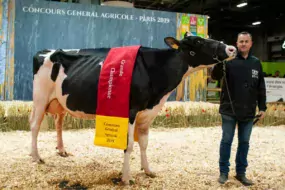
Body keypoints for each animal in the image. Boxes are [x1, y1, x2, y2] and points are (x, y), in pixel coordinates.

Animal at [30, 32, 236, 184]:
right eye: (199, 41)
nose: (231, 48)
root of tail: (46, 51)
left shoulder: (148, 112)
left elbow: (143, 143)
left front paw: (148, 170)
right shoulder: (129, 111)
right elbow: (128, 145)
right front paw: (126, 178)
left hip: (59, 101)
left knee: (58, 122)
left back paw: (61, 150)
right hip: (40, 98)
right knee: (34, 125)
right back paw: (36, 157)